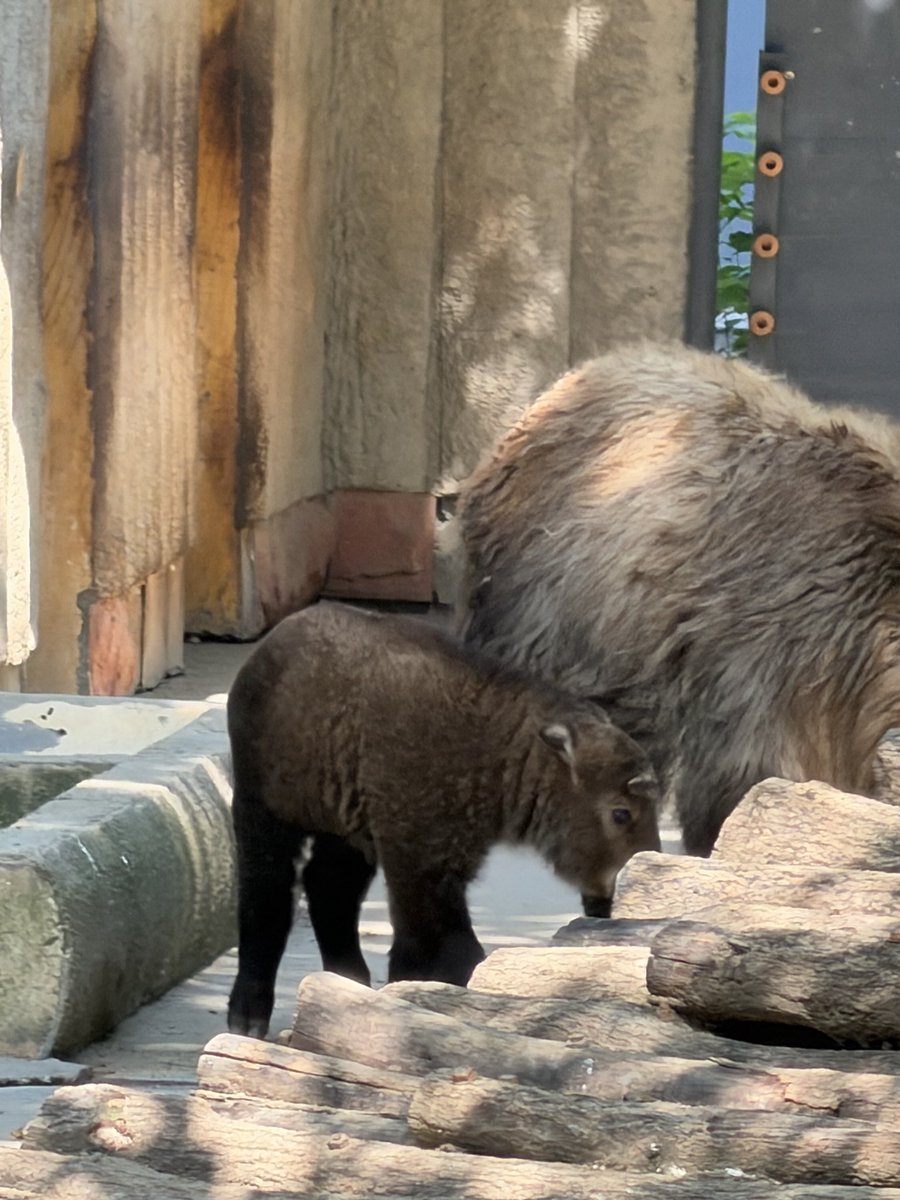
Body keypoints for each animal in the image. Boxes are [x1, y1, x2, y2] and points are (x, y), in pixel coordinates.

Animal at [226, 601, 660, 1039]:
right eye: (620, 813)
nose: (609, 899)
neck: (495, 745)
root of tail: (279, 637)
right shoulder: (417, 862)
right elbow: (443, 947)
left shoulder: (446, 859)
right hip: (264, 812)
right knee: (266, 895)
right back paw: (248, 1012)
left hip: (347, 833)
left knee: (328, 890)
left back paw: (348, 980)